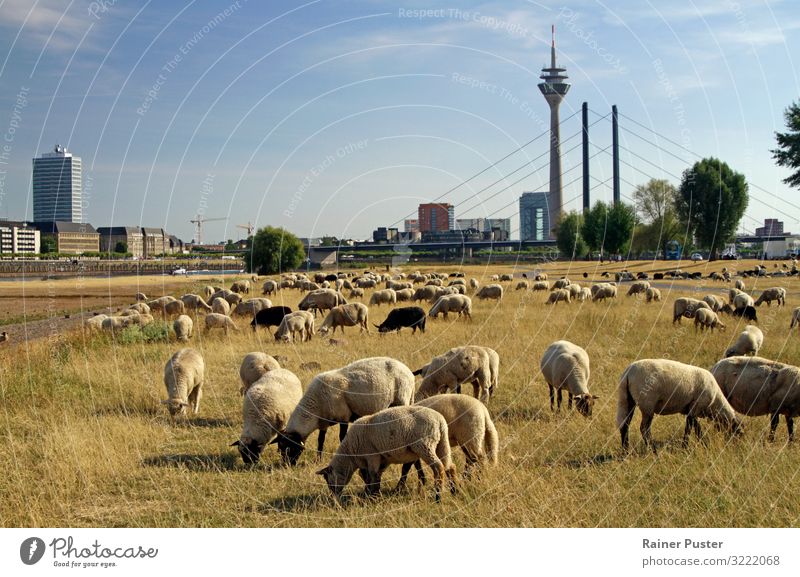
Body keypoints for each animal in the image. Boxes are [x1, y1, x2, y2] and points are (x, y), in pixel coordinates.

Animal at [276, 356, 416, 464]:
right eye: (280, 448)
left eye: (290, 448)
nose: (286, 465)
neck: (315, 405)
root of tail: (409, 372)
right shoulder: (323, 423)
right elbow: (320, 440)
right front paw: (318, 460)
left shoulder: (343, 417)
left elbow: (341, 437)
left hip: (402, 399)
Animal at [318, 404, 456, 504]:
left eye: (328, 480)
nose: (334, 498)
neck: (350, 453)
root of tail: (440, 421)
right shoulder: (382, 459)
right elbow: (372, 476)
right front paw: (373, 494)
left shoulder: (372, 455)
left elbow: (372, 475)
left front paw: (371, 497)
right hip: (441, 443)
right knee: (450, 466)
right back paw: (454, 491)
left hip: (424, 445)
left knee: (439, 468)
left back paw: (438, 498)